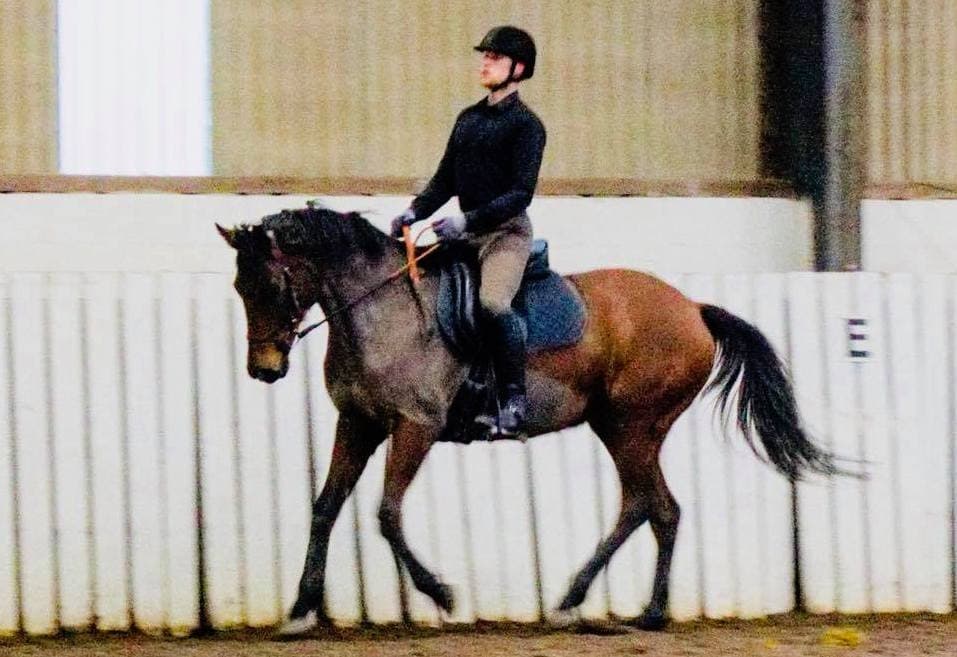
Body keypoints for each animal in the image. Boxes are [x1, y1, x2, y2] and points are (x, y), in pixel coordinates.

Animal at [215, 205, 840, 634]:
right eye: (240, 287)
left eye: (271, 283)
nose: (263, 370)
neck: (380, 312)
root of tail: (693, 309)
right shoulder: (359, 424)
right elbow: (325, 507)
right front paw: (300, 609)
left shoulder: (414, 427)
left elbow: (388, 515)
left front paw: (441, 594)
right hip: (620, 426)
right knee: (656, 508)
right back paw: (629, 609)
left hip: (633, 425)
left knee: (648, 504)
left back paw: (590, 605)